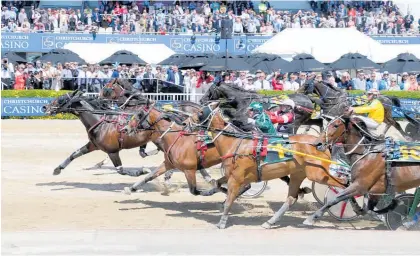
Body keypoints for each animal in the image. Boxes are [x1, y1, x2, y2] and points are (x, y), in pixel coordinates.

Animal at [195, 102, 350, 230]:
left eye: (200, 112)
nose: (189, 122)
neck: (236, 143)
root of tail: (322, 144)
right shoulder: (232, 175)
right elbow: (217, 183)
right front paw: (209, 192)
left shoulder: (236, 178)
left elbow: (229, 200)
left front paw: (221, 222)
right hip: (298, 173)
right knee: (291, 198)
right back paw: (270, 221)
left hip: (317, 174)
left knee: (344, 185)